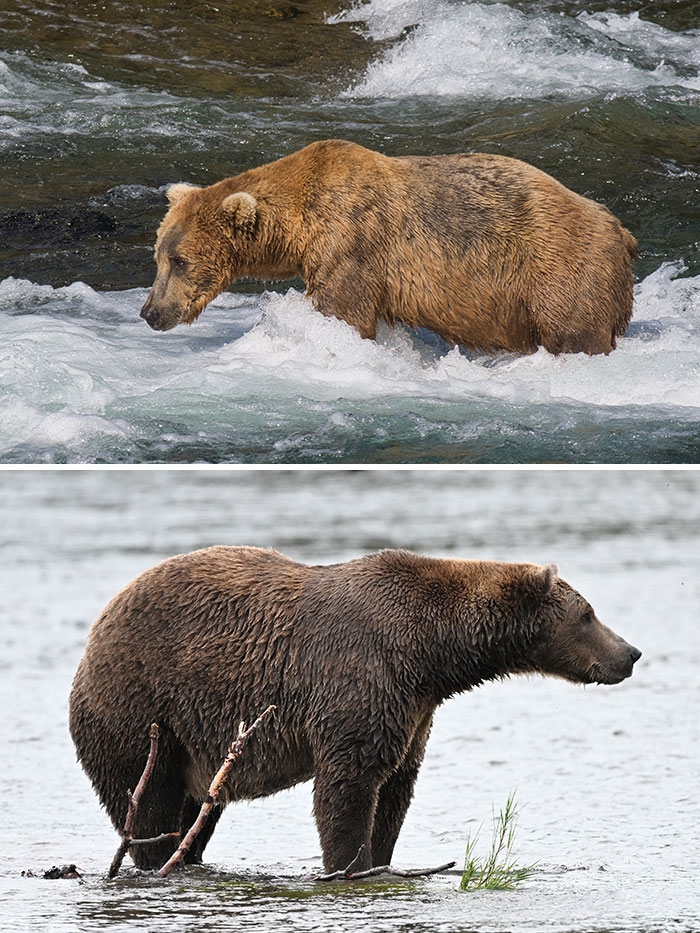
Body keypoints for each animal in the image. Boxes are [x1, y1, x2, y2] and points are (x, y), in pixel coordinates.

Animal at [69, 546, 641, 874]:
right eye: (588, 614)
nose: (630, 653)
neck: (433, 651)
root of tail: (94, 635)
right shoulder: (361, 678)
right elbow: (349, 784)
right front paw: (349, 864)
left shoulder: (414, 708)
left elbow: (395, 788)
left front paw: (381, 859)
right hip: (142, 708)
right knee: (148, 803)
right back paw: (155, 859)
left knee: (197, 813)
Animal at [140, 139, 637, 355]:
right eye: (158, 257)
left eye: (181, 262)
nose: (150, 312)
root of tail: (620, 229)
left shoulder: (351, 242)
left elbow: (344, 311)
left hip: (559, 269)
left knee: (574, 331)